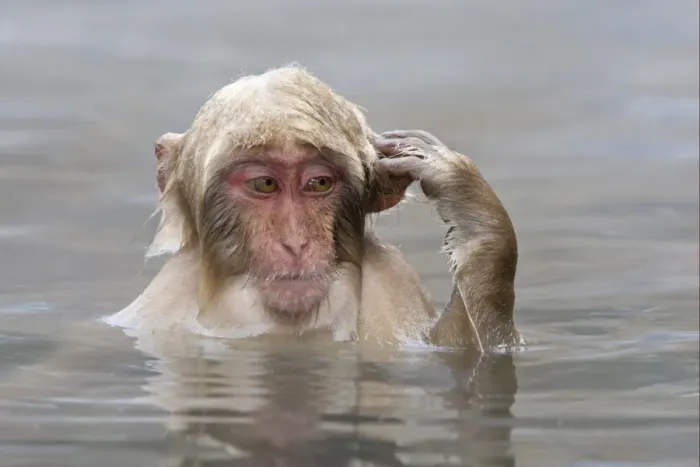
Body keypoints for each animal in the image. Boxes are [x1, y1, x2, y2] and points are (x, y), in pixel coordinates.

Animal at [103, 65, 522, 352]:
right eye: (265, 184)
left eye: (318, 184)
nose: (295, 243)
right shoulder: (158, 310)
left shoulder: (396, 285)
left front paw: (471, 209)